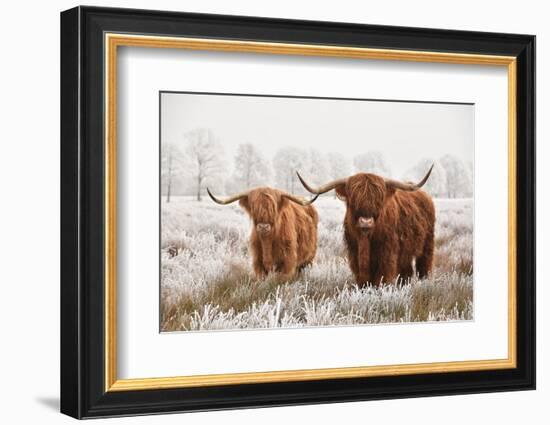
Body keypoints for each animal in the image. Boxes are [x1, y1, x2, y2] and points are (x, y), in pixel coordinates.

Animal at [300, 165, 438, 284]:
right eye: (353, 199)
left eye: (379, 200)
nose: (366, 222)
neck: (365, 239)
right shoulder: (354, 254)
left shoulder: (387, 255)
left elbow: (380, 279)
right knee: (406, 272)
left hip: (427, 244)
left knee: (424, 266)